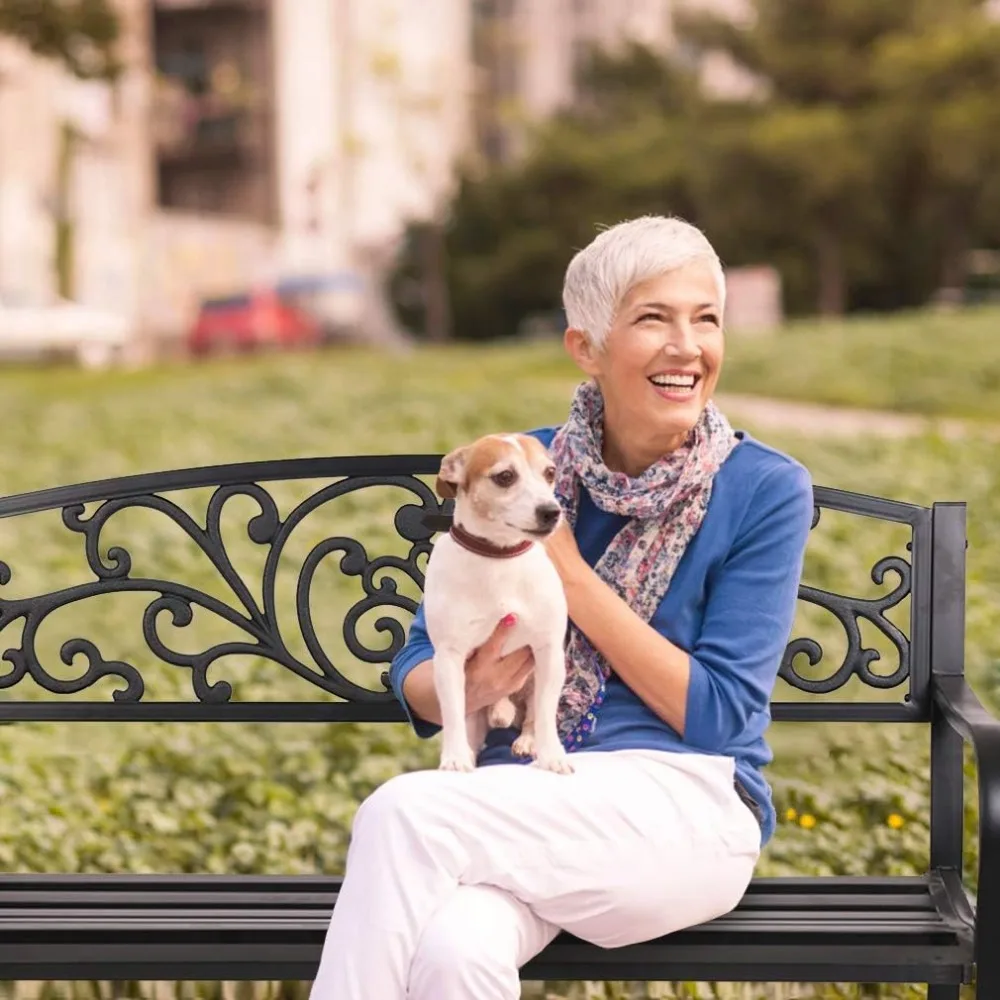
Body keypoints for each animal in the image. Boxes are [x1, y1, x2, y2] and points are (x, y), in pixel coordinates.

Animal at [424, 434, 576, 776]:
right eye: (505, 476)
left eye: (550, 472)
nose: (551, 511)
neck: (499, 557)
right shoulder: (449, 658)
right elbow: (452, 714)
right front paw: (455, 757)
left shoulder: (548, 651)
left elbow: (546, 714)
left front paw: (552, 755)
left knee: (532, 715)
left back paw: (527, 741)